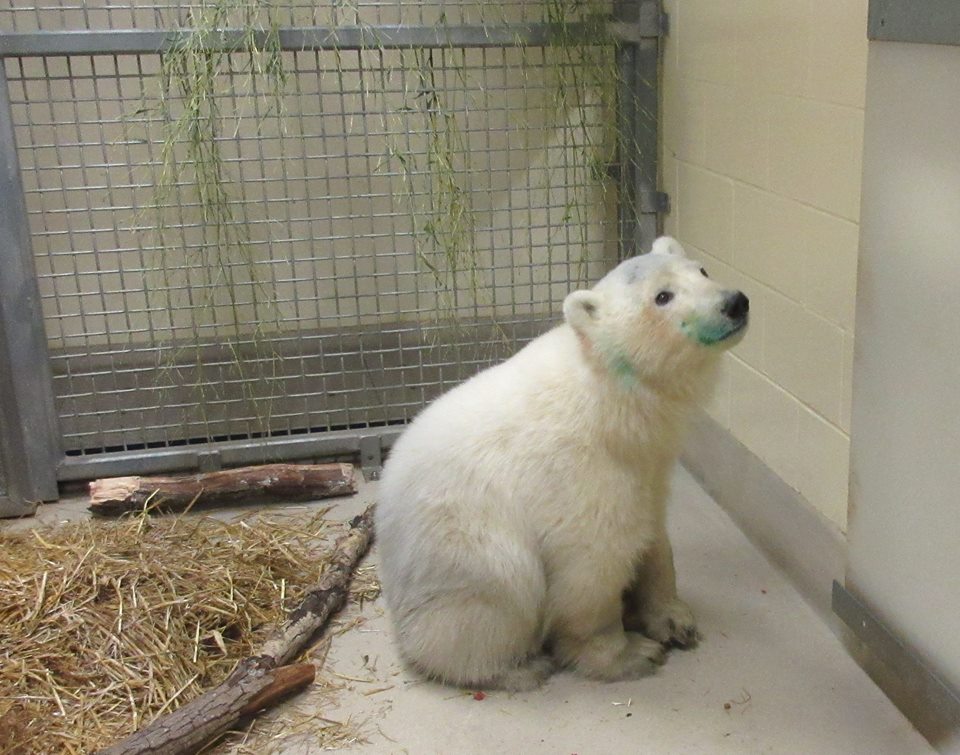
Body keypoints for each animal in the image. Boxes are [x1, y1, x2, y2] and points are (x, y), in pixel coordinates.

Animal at [375, 236, 749, 691]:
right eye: (662, 296)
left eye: (702, 270)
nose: (735, 302)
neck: (613, 400)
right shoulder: (580, 473)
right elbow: (593, 565)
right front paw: (631, 653)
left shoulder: (649, 463)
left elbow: (654, 535)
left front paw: (675, 619)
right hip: (462, 551)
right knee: (495, 598)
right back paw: (519, 667)